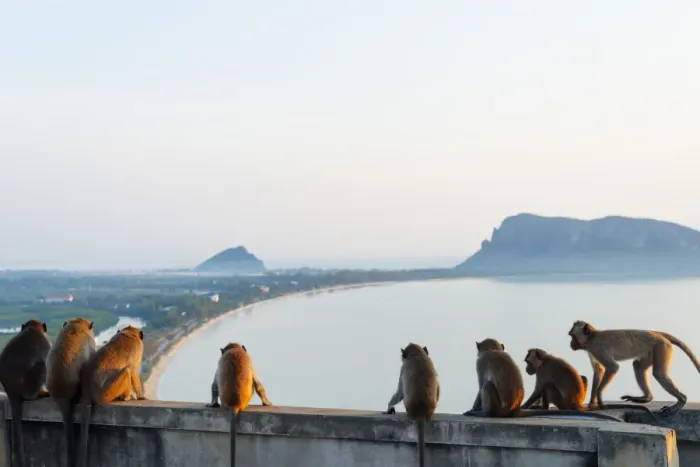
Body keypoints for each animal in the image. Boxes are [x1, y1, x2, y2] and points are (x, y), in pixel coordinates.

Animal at [0, 319, 52, 467]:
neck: (32, 329)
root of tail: (11, 390)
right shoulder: (45, 342)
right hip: (29, 387)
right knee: (41, 365)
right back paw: (39, 394)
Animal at [76, 325, 146, 467]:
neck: (129, 333)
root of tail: (87, 383)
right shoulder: (136, 350)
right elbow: (133, 371)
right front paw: (140, 396)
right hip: (106, 393)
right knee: (126, 371)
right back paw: (125, 397)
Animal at [522, 348, 658, 422]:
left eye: (528, 362)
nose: (526, 369)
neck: (544, 360)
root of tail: (576, 403)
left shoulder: (542, 371)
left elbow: (538, 389)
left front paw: (524, 406)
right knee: (583, 378)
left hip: (562, 402)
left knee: (548, 386)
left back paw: (544, 407)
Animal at [569, 320, 700, 418]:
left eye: (572, 336)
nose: (571, 344)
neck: (592, 337)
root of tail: (656, 333)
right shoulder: (592, 350)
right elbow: (598, 370)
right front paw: (592, 402)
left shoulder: (597, 348)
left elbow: (612, 367)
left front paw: (599, 395)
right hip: (651, 351)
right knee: (637, 366)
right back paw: (646, 398)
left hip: (661, 346)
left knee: (659, 374)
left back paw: (681, 401)